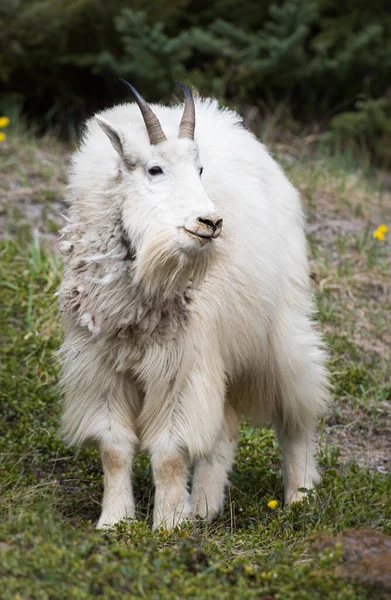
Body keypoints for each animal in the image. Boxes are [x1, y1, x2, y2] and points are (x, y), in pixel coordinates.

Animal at [58, 81, 330, 528]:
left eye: (200, 170)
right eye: (154, 170)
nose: (210, 223)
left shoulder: (182, 365)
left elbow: (169, 451)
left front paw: (168, 525)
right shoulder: (102, 366)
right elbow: (114, 447)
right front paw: (115, 521)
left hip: (280, 331)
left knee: (298, 410)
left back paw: (300, 497)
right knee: (226, 428)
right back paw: (204, 508)